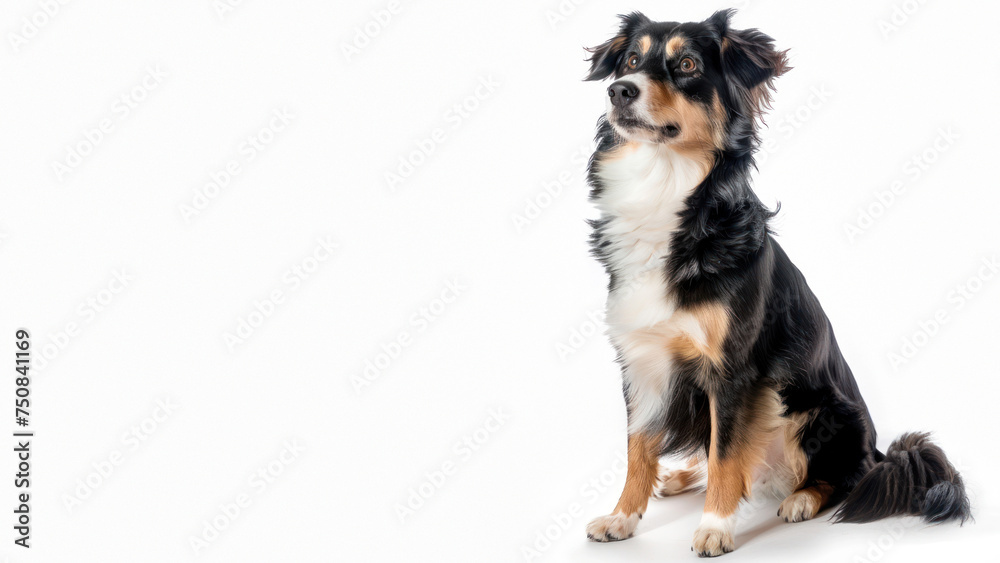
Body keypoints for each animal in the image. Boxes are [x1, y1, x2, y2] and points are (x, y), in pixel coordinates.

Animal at [580, 9, 968, 560]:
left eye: (687, 64)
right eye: (631, 60)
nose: (619, 91)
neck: (666, 184)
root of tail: (876, 449)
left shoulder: (733, 370)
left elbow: (726, 455)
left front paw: (715, 528)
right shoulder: (641, 359)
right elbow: (639, 447)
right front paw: (622, 517)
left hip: (814, 408)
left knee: (840, 478)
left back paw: (801, 498)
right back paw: (683, 476)